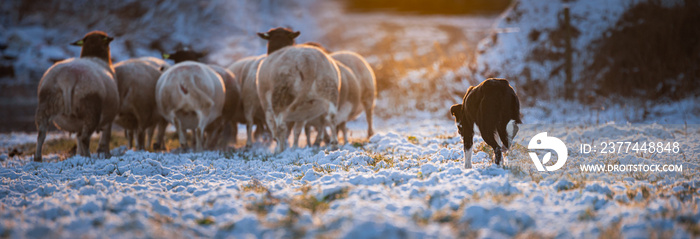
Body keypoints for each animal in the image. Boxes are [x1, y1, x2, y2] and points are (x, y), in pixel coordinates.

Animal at [34, 30, 119, 162]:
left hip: (46, 103)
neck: (95, 56)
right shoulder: (108, 119)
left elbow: (78, 138)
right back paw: (88, 157)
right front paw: (105, 155)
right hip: (91, 109)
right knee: (85, 138)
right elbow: (105, 138)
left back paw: (38, 158)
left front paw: (79, 154)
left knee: (41, 134)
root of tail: (67, 77)